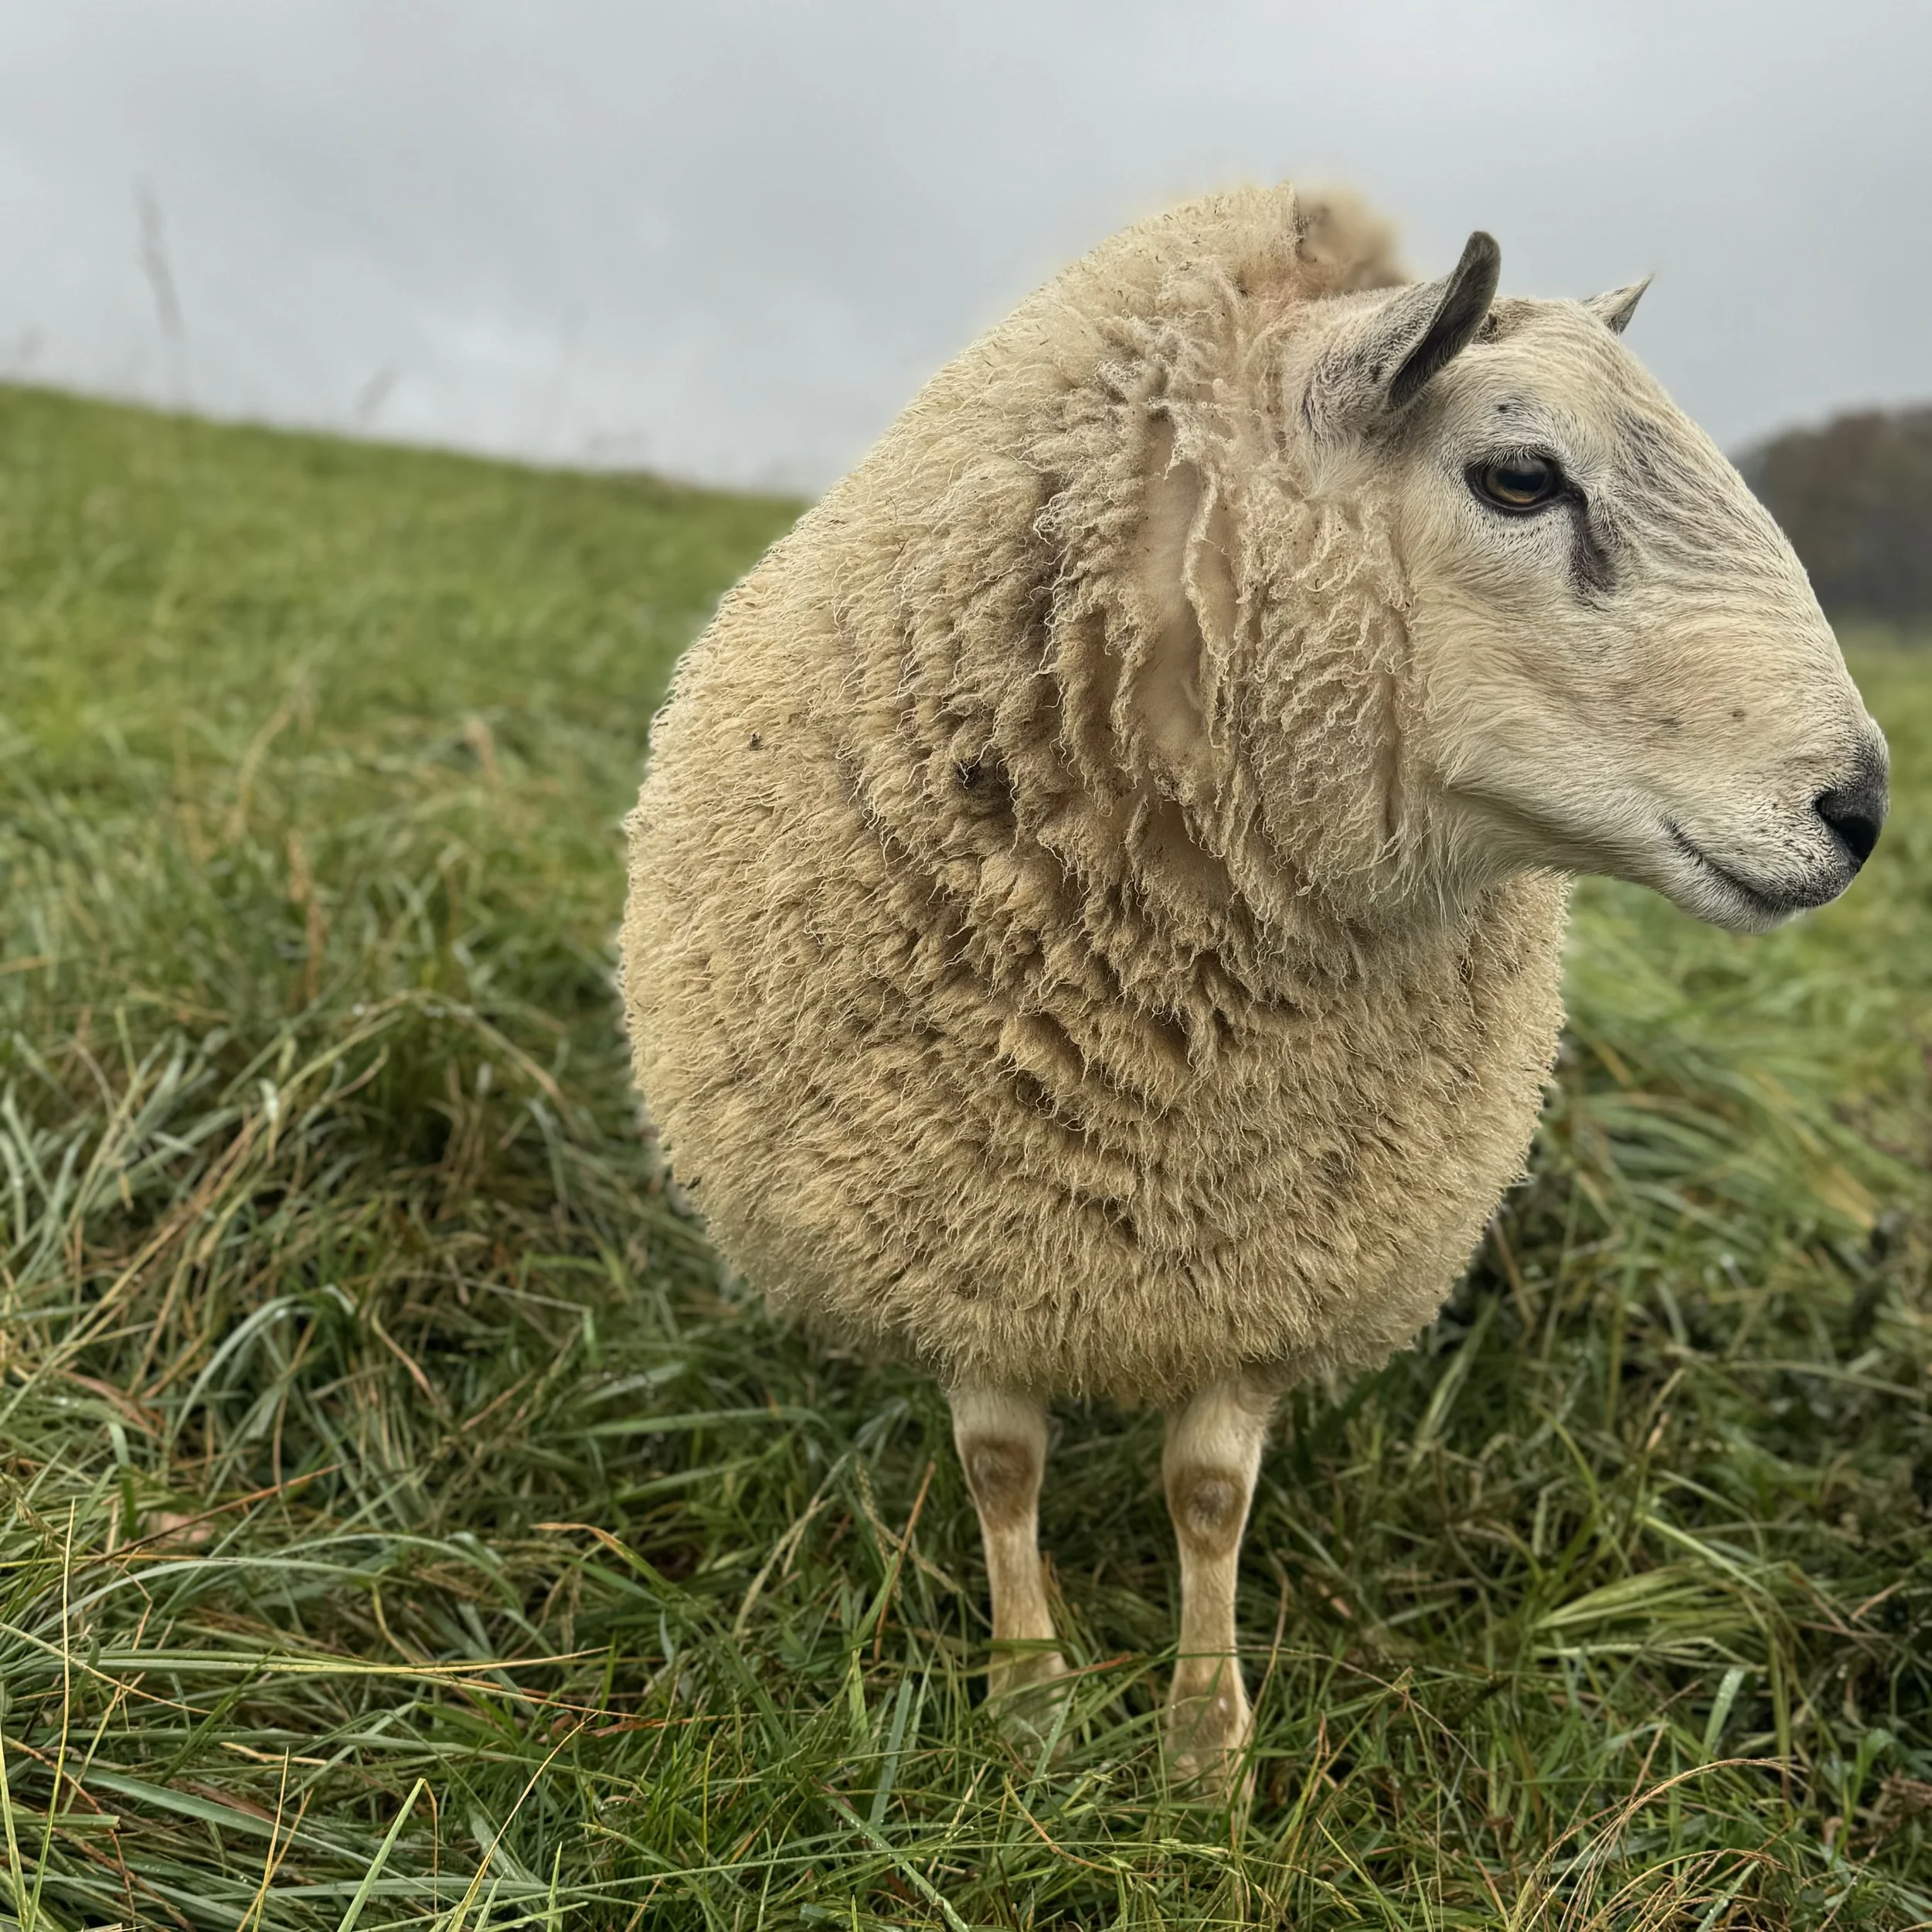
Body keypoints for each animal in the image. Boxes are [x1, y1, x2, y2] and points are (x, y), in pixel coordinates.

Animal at [618, 182, 1888, 1790]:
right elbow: (1000, 1466)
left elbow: (1209, 1495)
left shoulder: (1272, 1266)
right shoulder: (957, 1239)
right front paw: (1031, 1707)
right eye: (1521, 477)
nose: (1863, 809)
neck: (1158, 1028)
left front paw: (1204, 1751)